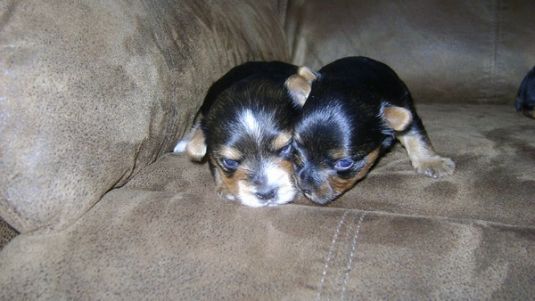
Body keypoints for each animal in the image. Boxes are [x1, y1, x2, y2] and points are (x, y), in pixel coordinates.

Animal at [288, 55, 456, 204]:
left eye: (344, 163)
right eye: (296, 148)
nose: (304, 189)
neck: (355, 83)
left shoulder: (406, 107)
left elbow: (415, 135)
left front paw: (431, 161)